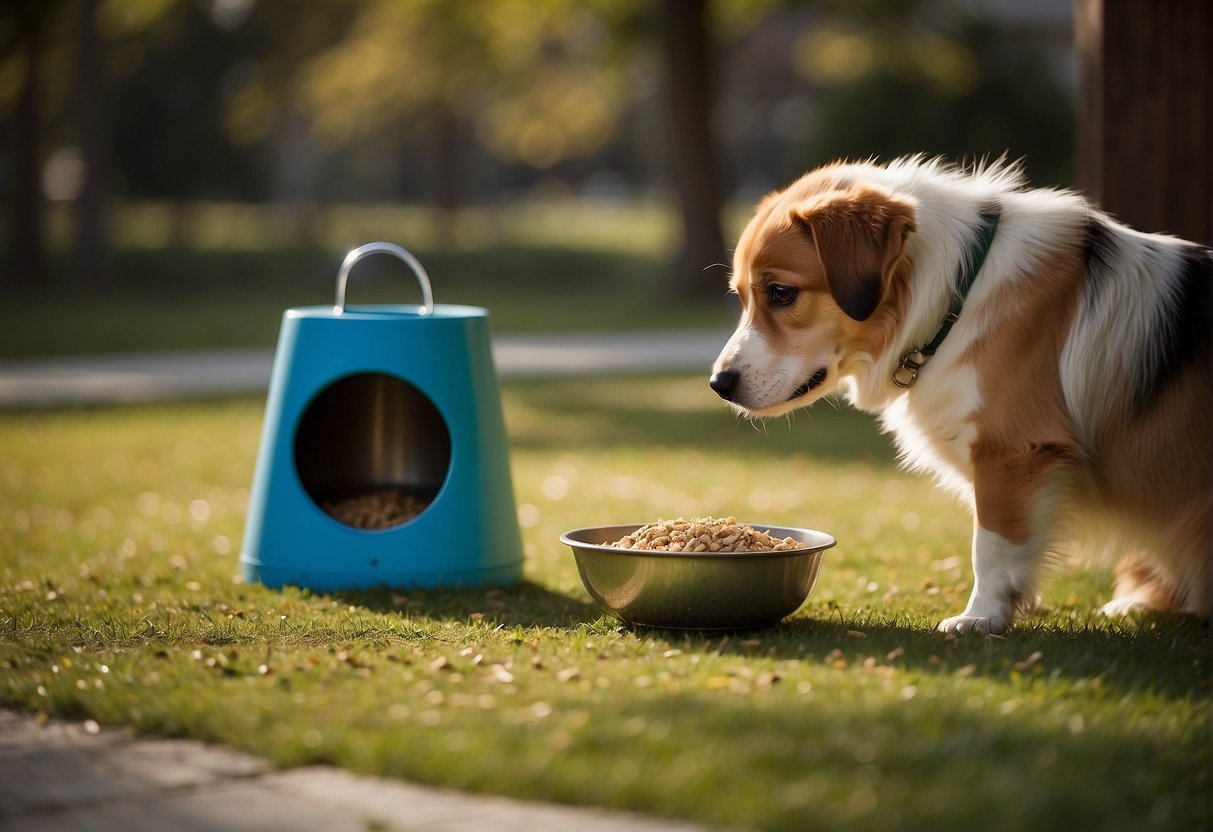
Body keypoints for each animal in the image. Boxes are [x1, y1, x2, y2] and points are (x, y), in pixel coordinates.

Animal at [708, 156, 1213, 635]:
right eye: (741, 297)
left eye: (781, 292)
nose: (719, 384)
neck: (955, 298)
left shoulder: (1012, 451)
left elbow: (991, 544)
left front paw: (981, 617)